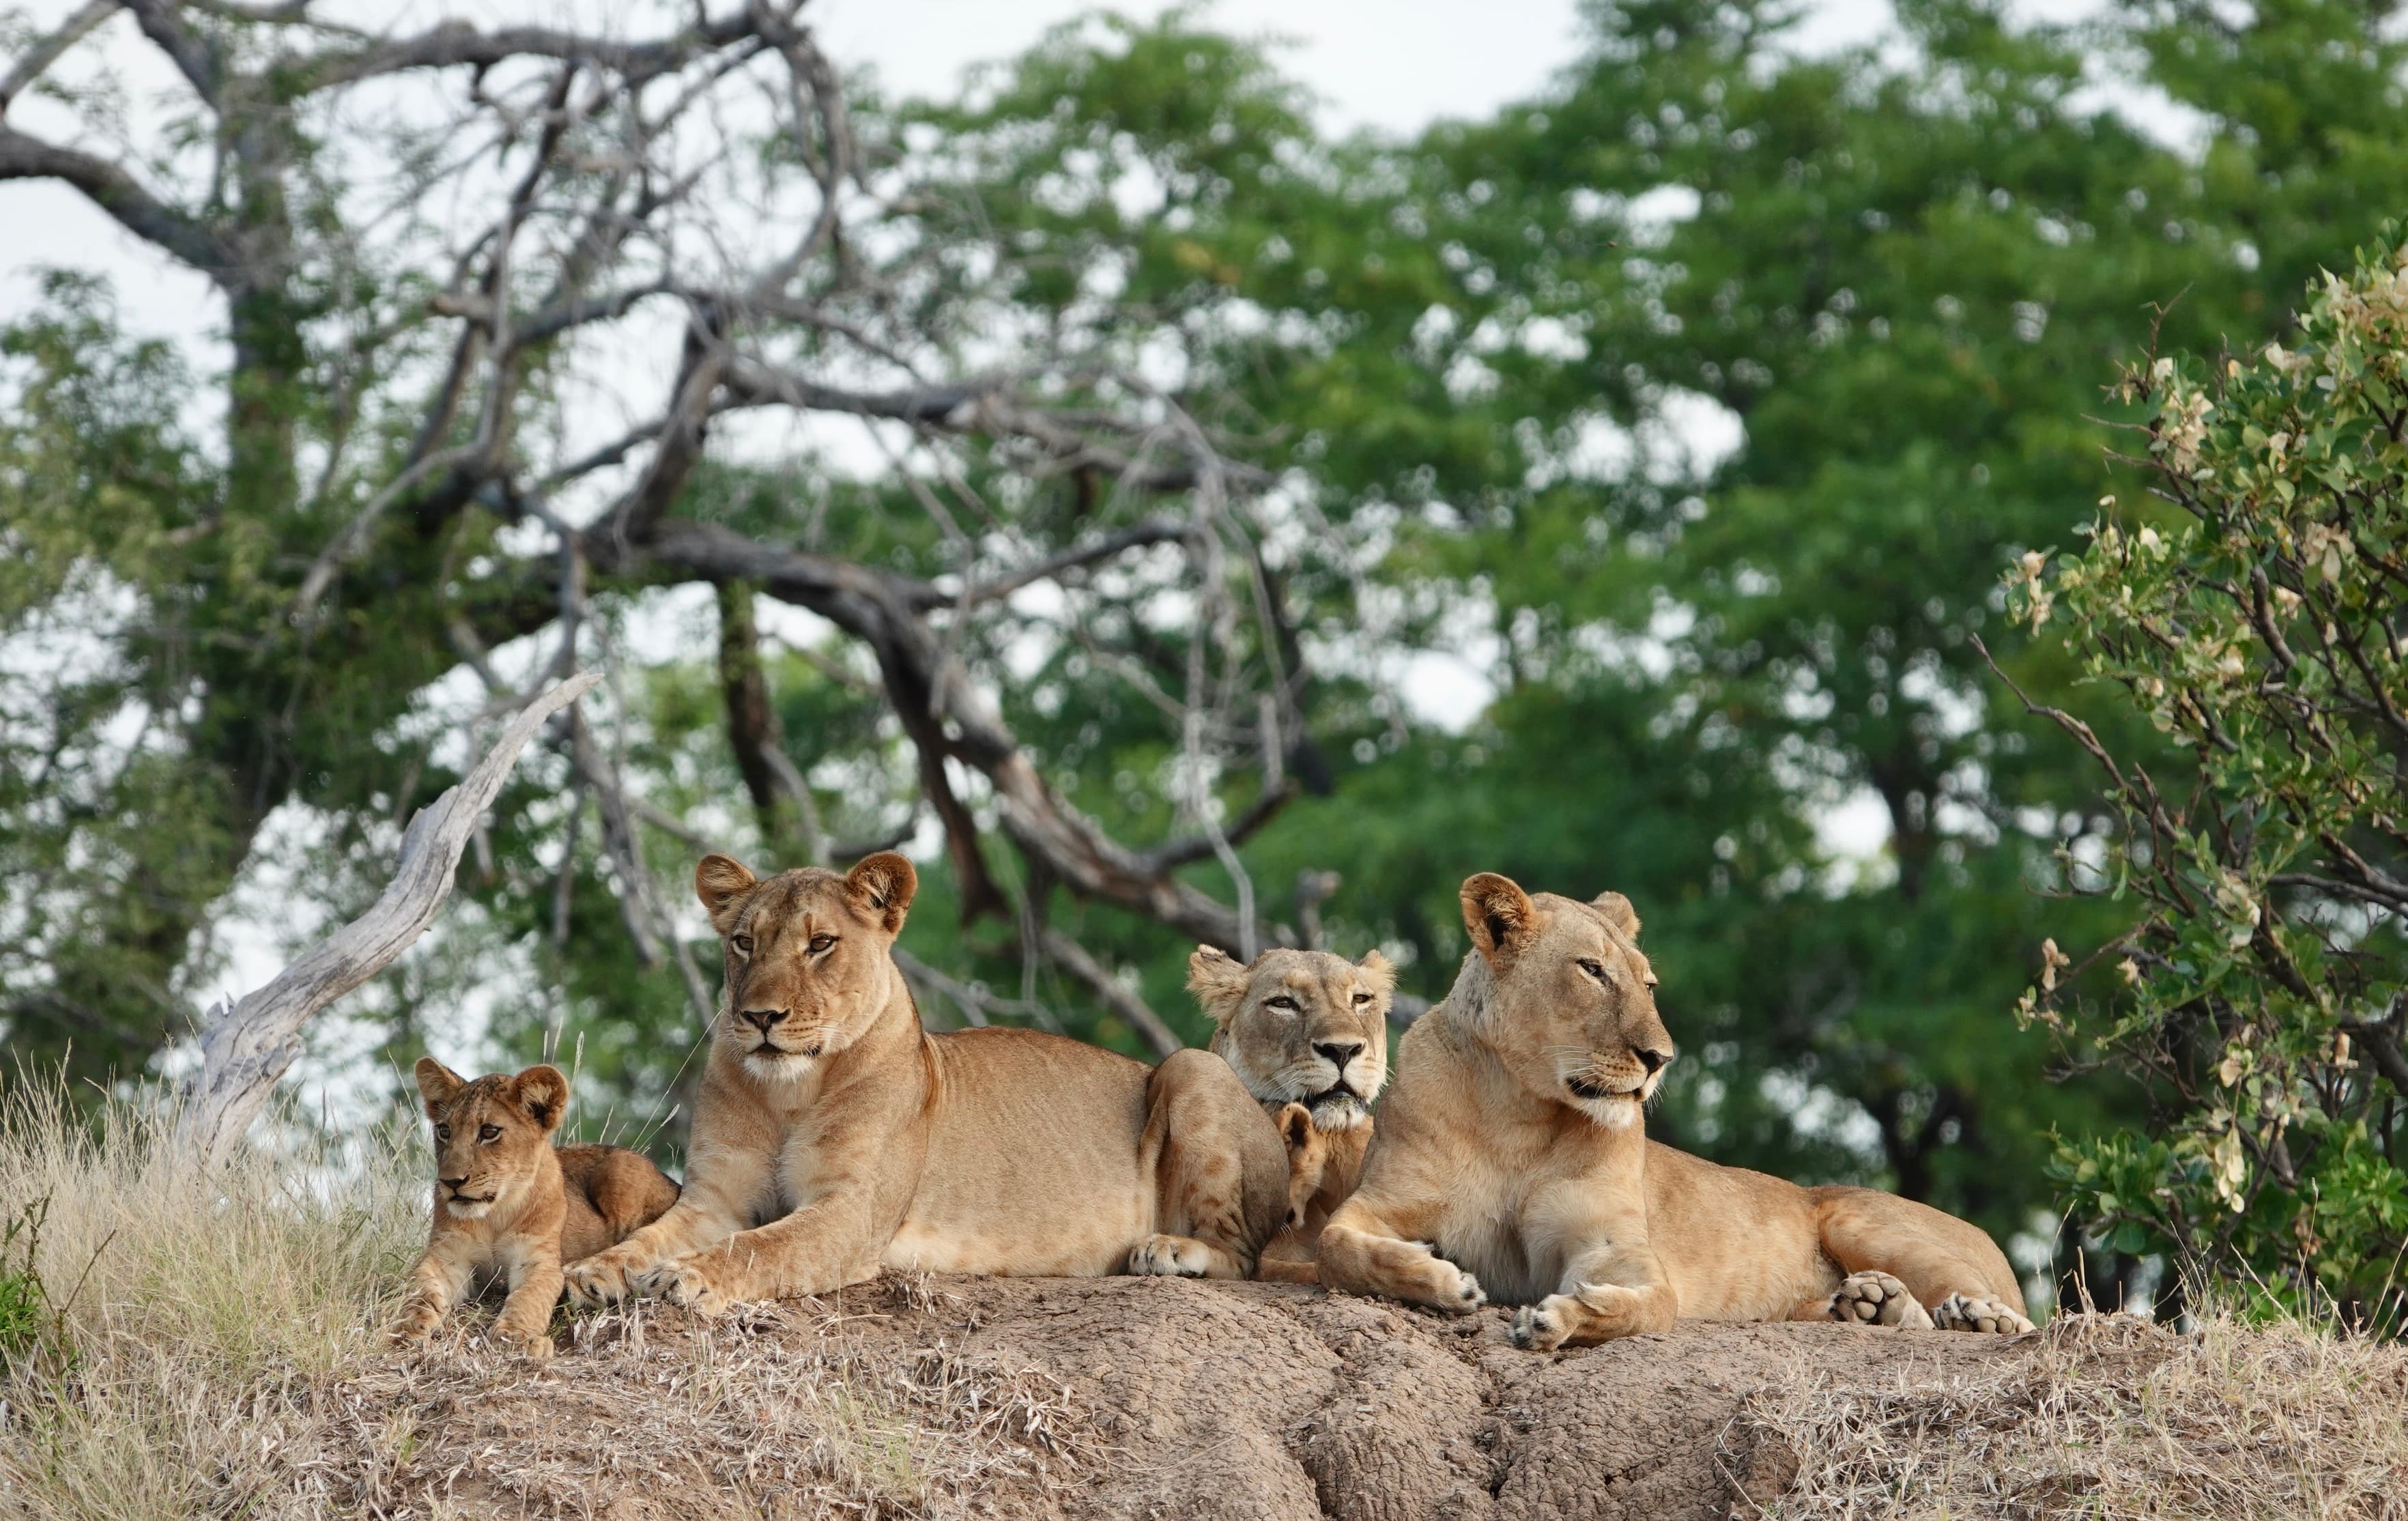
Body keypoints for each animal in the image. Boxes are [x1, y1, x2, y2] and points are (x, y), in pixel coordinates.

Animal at [390, 1060, 681, 1359]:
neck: (496, 1213)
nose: (451, 1182)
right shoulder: (448, 1255)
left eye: (489, 1132)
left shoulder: (538, 1258)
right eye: (444, 1131)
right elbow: (422, 1288)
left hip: (621, 1170)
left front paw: (516, 1339)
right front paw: (406, 1326)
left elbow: (529, 1298)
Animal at [563, 853, 1292, 1315]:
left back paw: (1168, 1250)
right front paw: (591, 1273)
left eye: (820, 944)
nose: (761, 1017)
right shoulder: (714, 1199)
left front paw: (688, 1277)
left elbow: (759, 1247)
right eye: (744, 942)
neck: (787, 1093)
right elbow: (649, 1238)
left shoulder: (853, 1211)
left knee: (1246, 1255)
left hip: (1192, 1066)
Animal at [1317, 872, 2035, 1349]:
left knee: (1998, 1315)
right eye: (1592, 971)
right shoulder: (1379, 1203)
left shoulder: (1615, 1251)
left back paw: (1977, 1317)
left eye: (1649, 982)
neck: (1515, 1114)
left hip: (1857, 1215)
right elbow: (1336, 1245)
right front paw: (1443, 1281)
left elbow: (1644, 1304)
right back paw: (1869, 1304)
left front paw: (1560, 1318)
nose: (1660, 1058)